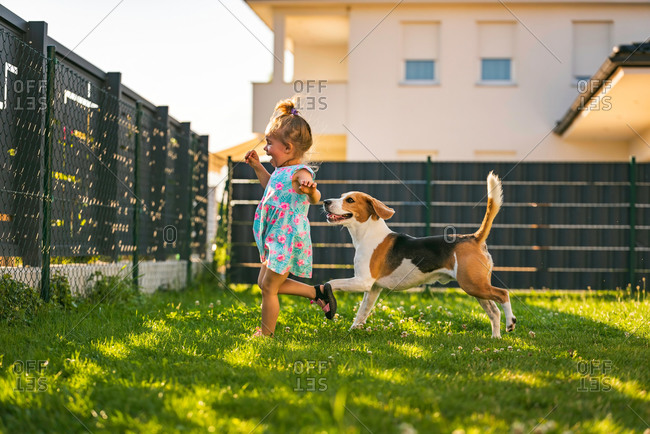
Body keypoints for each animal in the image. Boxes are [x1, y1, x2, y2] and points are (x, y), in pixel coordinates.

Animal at [322, 171, 512, 338]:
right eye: (342, 196)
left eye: (350, 200)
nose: (325, 201)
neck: (368, 233)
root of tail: (474, 237)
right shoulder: (373, 288)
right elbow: (362, 312)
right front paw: (353, 330)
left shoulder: (363, 281)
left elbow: (331, 283)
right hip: (476, 288)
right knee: (494, 312)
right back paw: (496, 338)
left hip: (473, 285)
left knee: (503, 294)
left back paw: (510, 322)